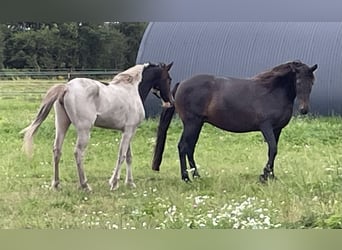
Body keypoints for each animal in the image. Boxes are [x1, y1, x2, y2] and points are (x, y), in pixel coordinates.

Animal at [22, 61, 174, 190]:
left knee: (57, 151)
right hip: (84, 130)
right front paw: (114, 183)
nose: (171, 101)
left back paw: (56, 185)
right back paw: (84, 185)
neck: (132, 90)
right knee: (78, 153)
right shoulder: (129, 131)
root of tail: (67, 87)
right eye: (168, 79)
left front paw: (130, 183)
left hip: (62, 124)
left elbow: (128, 156)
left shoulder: (128, 131)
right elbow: (122, 156)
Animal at [152, 60, 318, 182]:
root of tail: (182, 83)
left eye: (312, 82)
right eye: (298, 81)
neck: (272, 91)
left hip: (197, 124)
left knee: (190, 148)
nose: (304, 109)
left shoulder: (277, 130)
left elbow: (273, 151)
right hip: (192, 123)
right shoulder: (266, 127)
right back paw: (186, 177)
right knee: (183, 147)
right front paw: (264, 176)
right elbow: (273, 149)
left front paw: (270, 175)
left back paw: (197, 176)